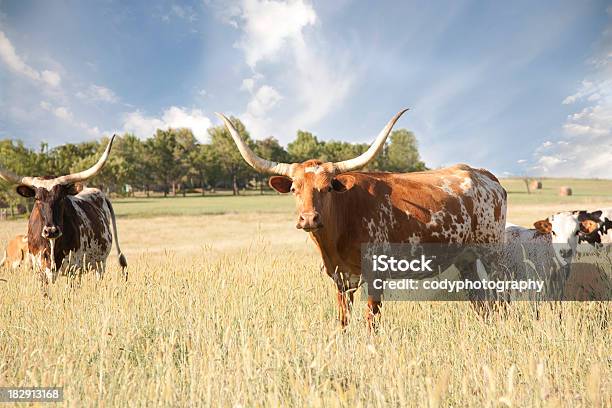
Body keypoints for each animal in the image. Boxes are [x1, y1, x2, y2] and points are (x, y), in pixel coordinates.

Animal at [0, 135, 126, 286]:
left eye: (61, 198)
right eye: (37, 199)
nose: (51, 231)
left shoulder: (73, 268)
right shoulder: (39, 269)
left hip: (100, 264)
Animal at [216, 108, 506, 328]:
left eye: (327, 187)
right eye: (295, 189)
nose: (308, 219)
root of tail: (482, 174)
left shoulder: (375, 274)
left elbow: (371, 320)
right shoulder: (340, 279)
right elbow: (343, 320)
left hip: (492, 251)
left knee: (500, 297)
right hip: (465, 258)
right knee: (481, 301)